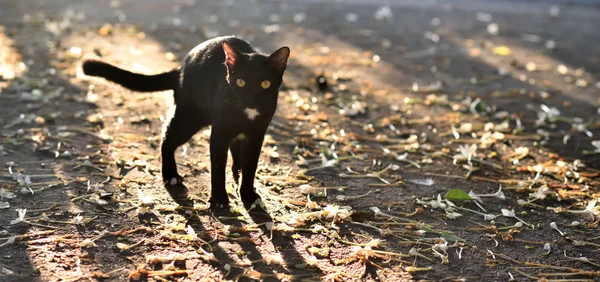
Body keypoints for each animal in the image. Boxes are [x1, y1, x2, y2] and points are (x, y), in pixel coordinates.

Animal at [82, 35, 290, 208]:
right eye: (241, 82)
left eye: (265, 84)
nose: (250, 100)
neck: (247, 112)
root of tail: (181, 68)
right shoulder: (220, 133)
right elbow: (217, 167)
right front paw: (219, 200)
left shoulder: (257, 134)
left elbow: (250, 166)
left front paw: (247, 194)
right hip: (189, 118)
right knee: (167, 138)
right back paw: (170, 175)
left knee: (235, 148)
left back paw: (236, 171)